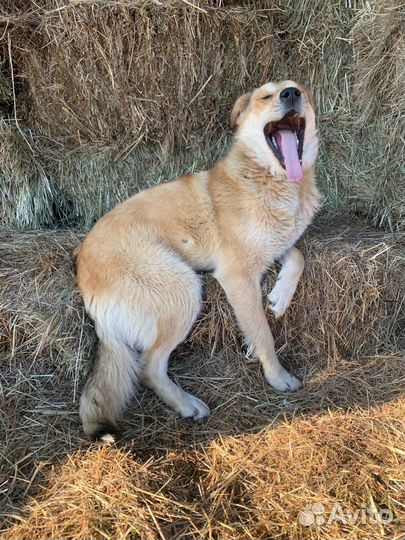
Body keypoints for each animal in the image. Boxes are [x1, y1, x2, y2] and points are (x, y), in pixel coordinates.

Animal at [76, 80, 320, 438]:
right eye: (266, 96)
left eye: (297, 89)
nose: (291, 94)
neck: (266, 177)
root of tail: (82, 271)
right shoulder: (237, 275)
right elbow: (263, 331)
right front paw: (277, 377)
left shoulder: (275, 245)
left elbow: (298, 256)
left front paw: (279, 297)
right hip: (183, 290)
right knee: (148, 368)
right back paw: (187, 404)